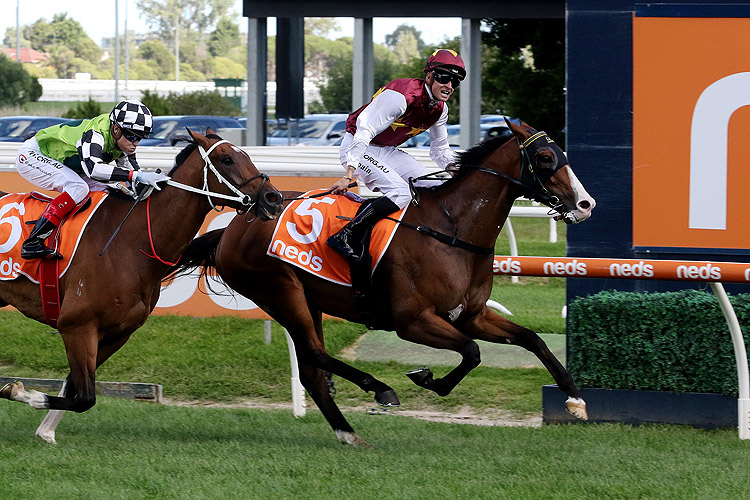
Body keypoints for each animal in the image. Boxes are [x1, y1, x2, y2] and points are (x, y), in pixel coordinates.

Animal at [0, 128, 284, 442]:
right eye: (227, 159)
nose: (273, 198)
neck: (129, 244)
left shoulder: (117, 333)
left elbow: (75, 386)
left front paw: (46, 431)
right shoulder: (76, 325)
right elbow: (85, 397)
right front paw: (18, 392)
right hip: (30, 158)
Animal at [173, 120, 596, 446]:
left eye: (561, 152)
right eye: (545, 158)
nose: (585, 204)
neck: (452, 231)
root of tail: (231, 229)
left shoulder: (471, 315)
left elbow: (532, 339)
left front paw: (575, 399)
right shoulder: (413, 321)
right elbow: (472, 351)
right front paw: (426, 378)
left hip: (307, 299)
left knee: (312, 369)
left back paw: (347, 432)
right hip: (281, 293)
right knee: (313, 354)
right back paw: (378, 388)